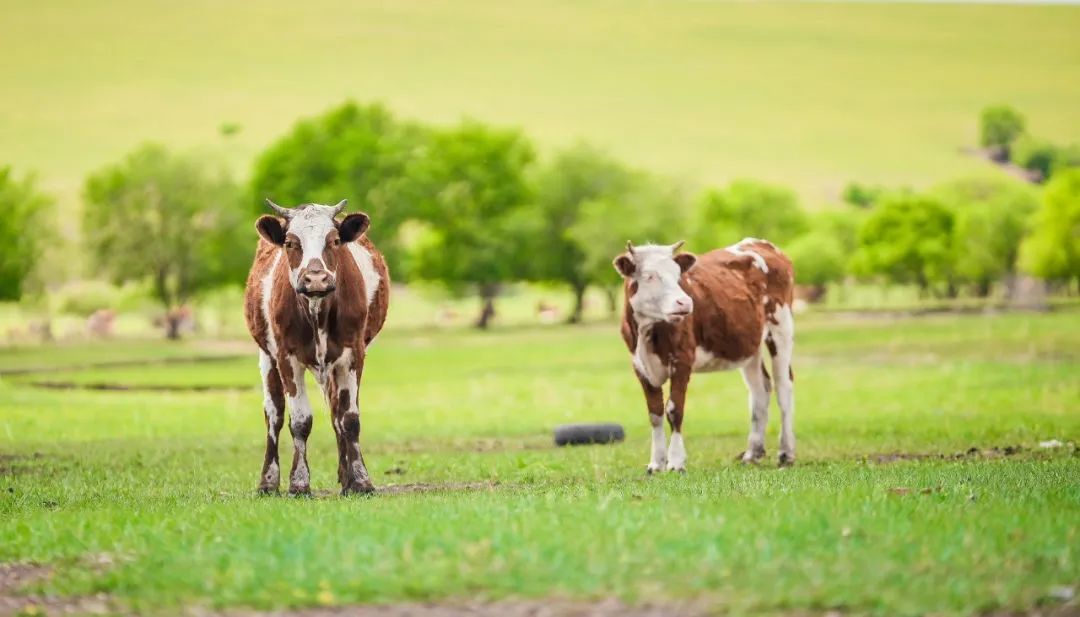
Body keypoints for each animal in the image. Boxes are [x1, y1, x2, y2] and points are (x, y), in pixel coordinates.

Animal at [243, 199, 390, 494]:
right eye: (290, 243)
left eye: (334, 241)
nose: (316, 279)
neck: (317, 311)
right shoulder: (286, 357)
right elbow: (300, 421)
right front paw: (299, 483)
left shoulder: (353, 354)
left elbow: (349, 418)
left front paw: (360, 480)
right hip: (267, 357)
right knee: (274, 415)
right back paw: (268, 481)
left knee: (336, 412)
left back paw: (346, 478)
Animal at [617, 238, 794, 471]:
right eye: (649, 276)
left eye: (678, 275)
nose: (685, 302)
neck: (647, 333)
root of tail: (760, 243)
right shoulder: (639, 365)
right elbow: (654, 413)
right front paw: (656, 463)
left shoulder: (682, 359)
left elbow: (674, 410)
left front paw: (676, 462)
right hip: (749, 345)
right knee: (760, 390)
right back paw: (752, 453)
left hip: (781, 327)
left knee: (784, 388)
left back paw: (786, 453)